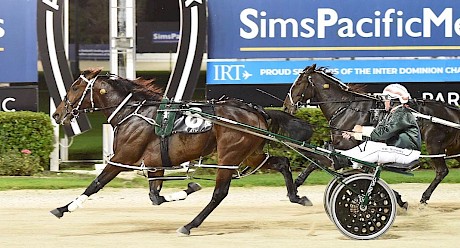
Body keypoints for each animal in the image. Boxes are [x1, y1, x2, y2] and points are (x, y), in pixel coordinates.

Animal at [52, 69, 314, 235]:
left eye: (75, 87)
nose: (56, 114)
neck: (134, 112)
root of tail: (258, 110)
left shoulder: (122, 158)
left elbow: (96, 184)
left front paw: (64, 208)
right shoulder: (155, 163)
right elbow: (155, 197)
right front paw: (189, 187)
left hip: (229, 155)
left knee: (220, 193)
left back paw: (189, 225)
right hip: (251, 153)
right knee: (282, 163)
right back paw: (297, 196)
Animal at [284, 64, 460, 205]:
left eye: (298, 82)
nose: (286, 106)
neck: (346, 109)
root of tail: (453, 111)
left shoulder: (347, 146)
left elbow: (318, 160)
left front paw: (295, 187)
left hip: (434, 144)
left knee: (442, 171)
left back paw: (424, 197)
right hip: (453, 147)